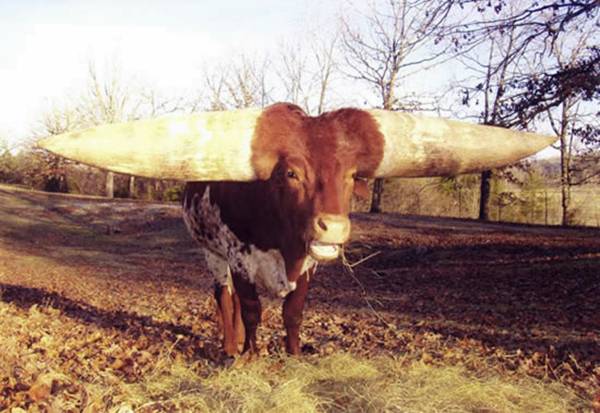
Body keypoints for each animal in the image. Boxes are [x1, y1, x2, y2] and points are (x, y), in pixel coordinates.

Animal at [36, 102, 552, 354]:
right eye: (290, 173)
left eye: (352, 176)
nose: (334, 228)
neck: (281, 241)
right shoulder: (239, 256)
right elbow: (249, 311)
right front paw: (251, 355)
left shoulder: (308, 267)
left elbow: (292, 313)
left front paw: (294, 355)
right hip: (210, 254)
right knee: (222, 298)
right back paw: (230, 348)